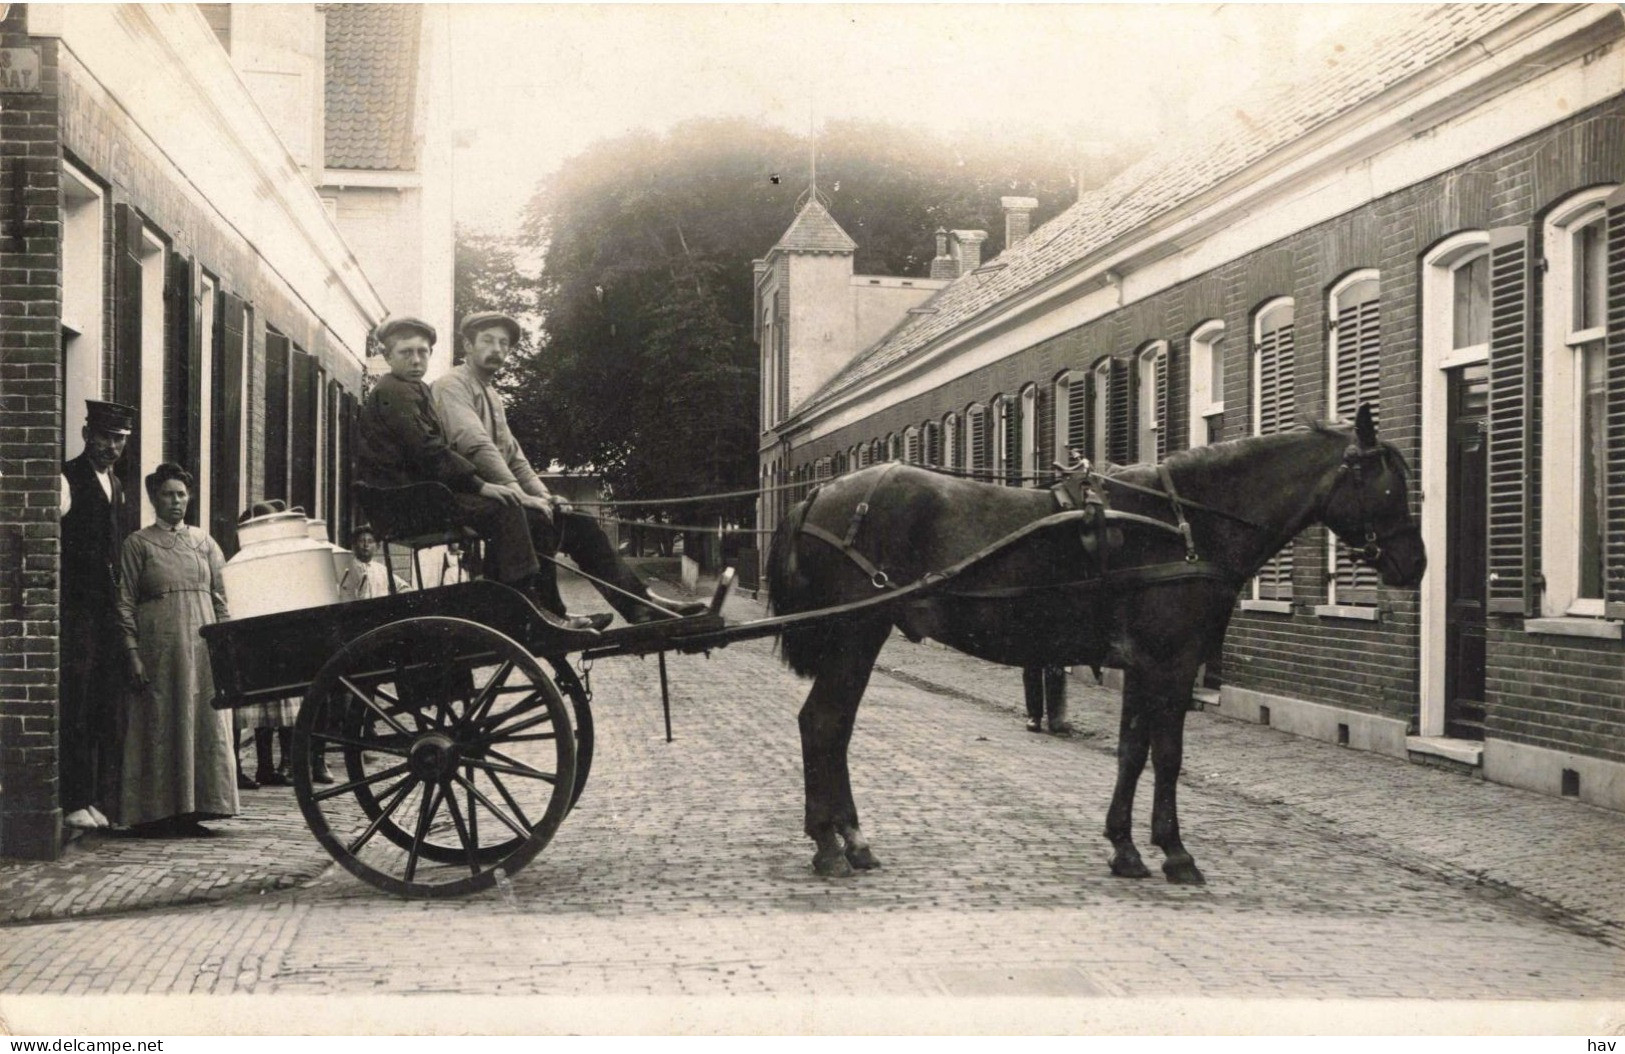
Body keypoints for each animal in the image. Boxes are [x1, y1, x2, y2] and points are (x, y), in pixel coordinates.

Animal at [760, 402, 1423, 876]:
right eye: (1389, 485)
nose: (1414, 564)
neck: (1187, 523)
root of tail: (821, 493)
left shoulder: (1141, 664)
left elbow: (1132, 751)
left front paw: (1126, 848)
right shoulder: (1170, 662)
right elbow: (1168, 754)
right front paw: (1175, 852)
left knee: (831, 727)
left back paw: (849, 839)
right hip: (855, 635)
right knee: (824, 724)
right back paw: (831, 845)